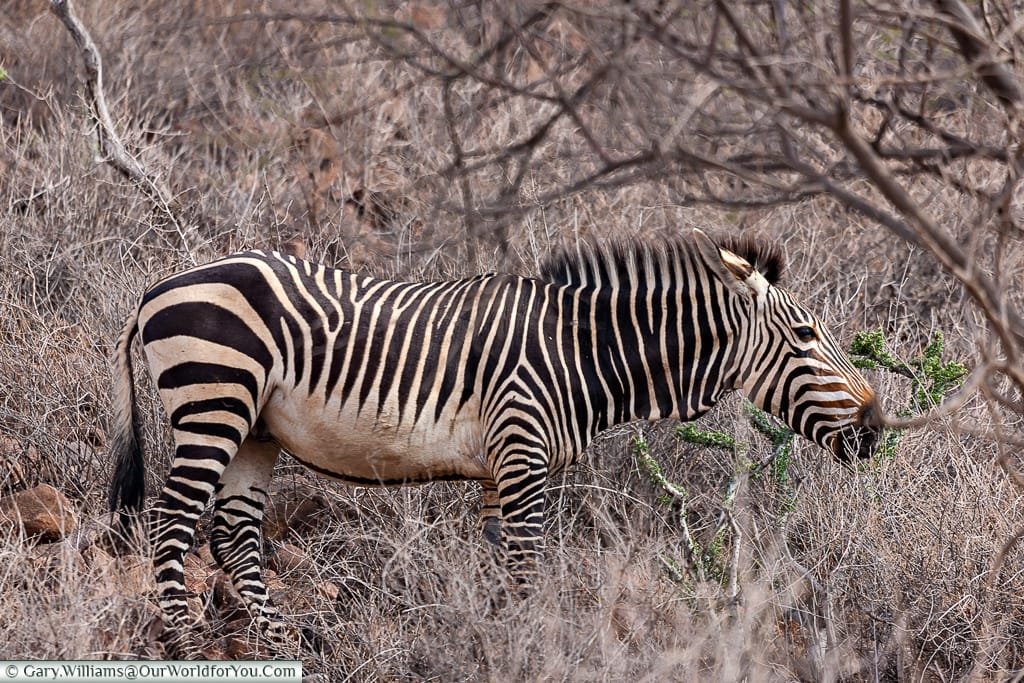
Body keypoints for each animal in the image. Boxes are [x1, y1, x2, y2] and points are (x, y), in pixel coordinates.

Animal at [108, 229, 884, 655]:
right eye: (807, 335)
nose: (877, 429)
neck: (583, 352)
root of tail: (155, 288)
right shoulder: (521, 451)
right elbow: (527, 567)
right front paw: (530, 645)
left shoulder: (497, 467)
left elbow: (497, 568)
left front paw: (490, 640)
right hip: (215, 399)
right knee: (172, 521)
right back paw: (185, 641)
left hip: (257, 429)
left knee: (235, 535)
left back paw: (280, 645)